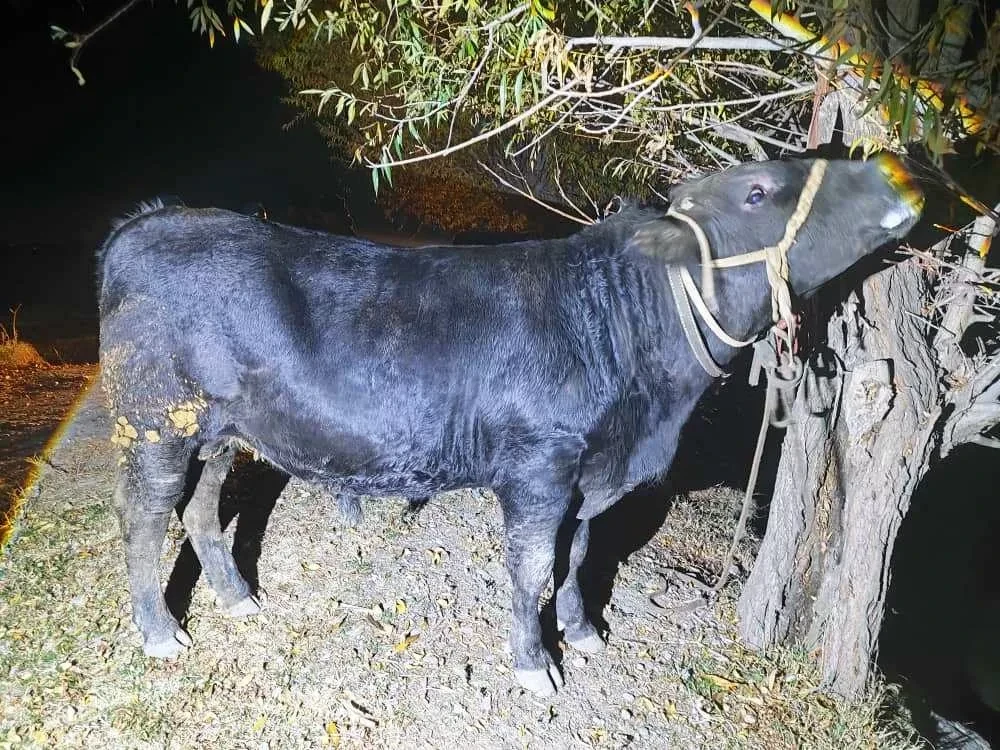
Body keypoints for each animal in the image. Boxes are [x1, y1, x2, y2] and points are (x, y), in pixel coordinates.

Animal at [97, 155, 922, 697]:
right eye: (757, 191)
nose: (897, 173)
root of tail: (149, 221)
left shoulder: (592, 476)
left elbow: (582, 552)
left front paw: (584, 632)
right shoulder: (539, 469)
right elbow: (533, 568)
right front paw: (535, 665)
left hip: (222, 433)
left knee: (201, 508)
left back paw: (237, 597)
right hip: (155, 424)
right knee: (143, 518)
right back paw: (160, 632)